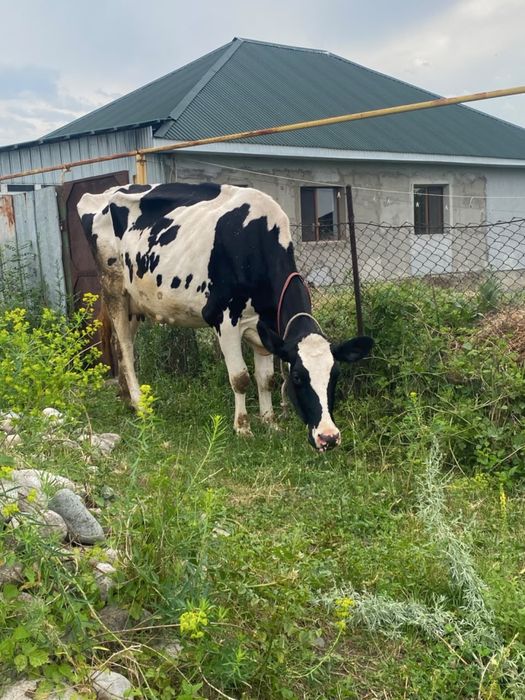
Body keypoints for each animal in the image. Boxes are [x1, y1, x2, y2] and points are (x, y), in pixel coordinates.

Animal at [77, 183, 373, 451]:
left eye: (335, 374)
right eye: (299, 377)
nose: (328, 437)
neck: (256, 243)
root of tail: (104, 192)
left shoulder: (263, 330)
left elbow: (266, 378)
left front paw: (270, 422)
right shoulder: (225, 319)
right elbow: (240, 378)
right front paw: (243, 427)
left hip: (134, 301)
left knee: (118, 342)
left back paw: (125, 398)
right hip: (113, 286)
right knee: (127, 347)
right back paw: (140, 404)